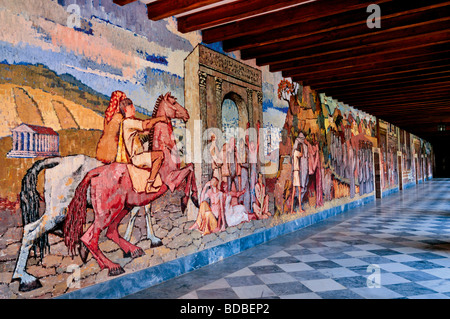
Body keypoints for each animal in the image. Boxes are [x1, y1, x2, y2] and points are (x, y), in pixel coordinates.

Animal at [63, 92, 199, 276]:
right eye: (173, 102)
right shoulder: (172, 179)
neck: (165, 150)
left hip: (122, 208)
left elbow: (191, 167)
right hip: (106, 213)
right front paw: (188, 200)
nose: (186, 114)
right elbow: (190, 169)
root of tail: (95, 173)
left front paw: (193, 199)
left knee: (111, 232)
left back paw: (131, 251)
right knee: (89, 237)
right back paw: (113, 266)